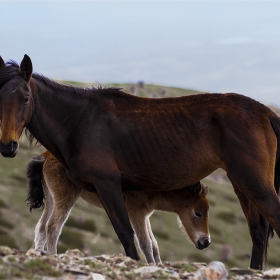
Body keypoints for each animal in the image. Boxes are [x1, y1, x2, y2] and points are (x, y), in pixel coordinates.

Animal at [26, 151, 210, 262]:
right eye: (198, 213)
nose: (205, 242)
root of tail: (45, 156)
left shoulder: (144, 215)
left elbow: (154, 245)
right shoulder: (136, 213)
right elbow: (146, 244)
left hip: (51, 199)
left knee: (41, 226)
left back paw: (38, 253)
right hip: (66, 199)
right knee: (52, 227)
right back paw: (53, 255)